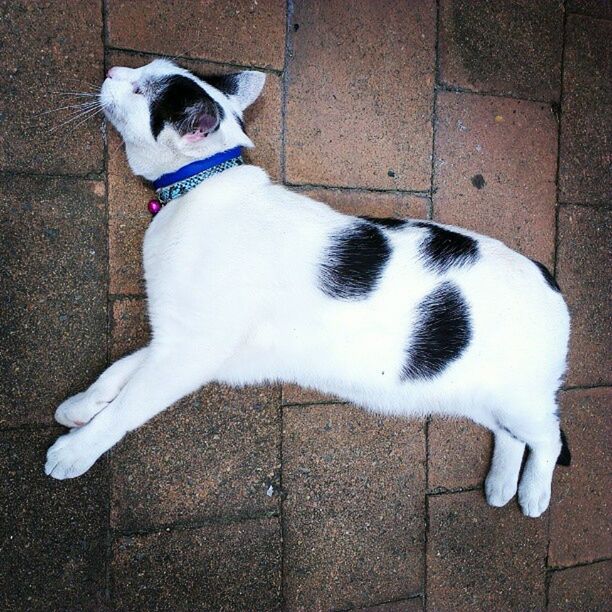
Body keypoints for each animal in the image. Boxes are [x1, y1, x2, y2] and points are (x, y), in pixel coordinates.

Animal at [45, 57, 572, 520]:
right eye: (138, 73)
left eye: (139, 90)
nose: (113, 70)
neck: (196, 189)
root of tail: (548, 274)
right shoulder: (177, 342)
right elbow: (119, 371)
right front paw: (80, 407)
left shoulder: (191, 351)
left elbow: (128, 407)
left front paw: (75, 451)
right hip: (473, 395)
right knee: (513, 435)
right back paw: (501, 484)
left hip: (521, 398)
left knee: (549, 435)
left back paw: (533, 493)